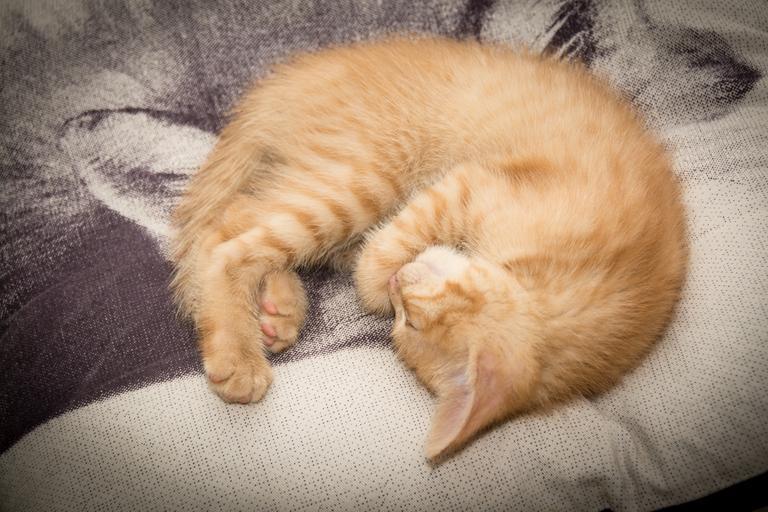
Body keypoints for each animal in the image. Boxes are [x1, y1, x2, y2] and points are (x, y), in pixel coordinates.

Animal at [170, 36, 687, 460]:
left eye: (407, 323)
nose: (399, 284)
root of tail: (283, 82)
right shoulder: (476, 183)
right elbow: (399, 236)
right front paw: (374, 278)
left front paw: (374, 279)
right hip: (363, 178)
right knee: (228, 234)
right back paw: (239, 355)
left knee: (243, 216)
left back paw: (279, 308)